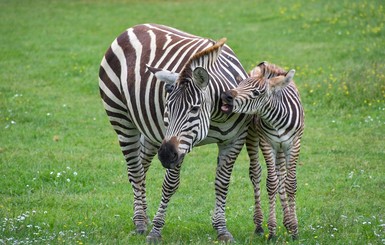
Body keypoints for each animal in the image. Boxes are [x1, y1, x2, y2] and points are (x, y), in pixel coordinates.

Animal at [97, 23, 262, 242]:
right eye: (167, 107)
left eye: (194, 108)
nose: (166, 155)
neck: (216, 115)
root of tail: (134, 27)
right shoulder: (178, 146)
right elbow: (170, 185)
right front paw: (156, 231)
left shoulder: (234, 140)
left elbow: (222, 183)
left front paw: (222, 229)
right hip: (122, 119)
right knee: (135, 171)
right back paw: (141, 222)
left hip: (151, 132)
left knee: (142, 166)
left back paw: (142, 216)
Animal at [220, 61, 304, 239]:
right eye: (239, 85)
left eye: (257, 92)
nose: (225, 96)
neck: (277, 119)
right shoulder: (267, 143)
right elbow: (271, 183)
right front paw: (272, 231)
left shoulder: (295, 143)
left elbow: (290, 183)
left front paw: (294, 229)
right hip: (252, 135)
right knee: (256, 173)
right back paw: (259, 225)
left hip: (281, 147)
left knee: (281, 175)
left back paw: (287, 221)